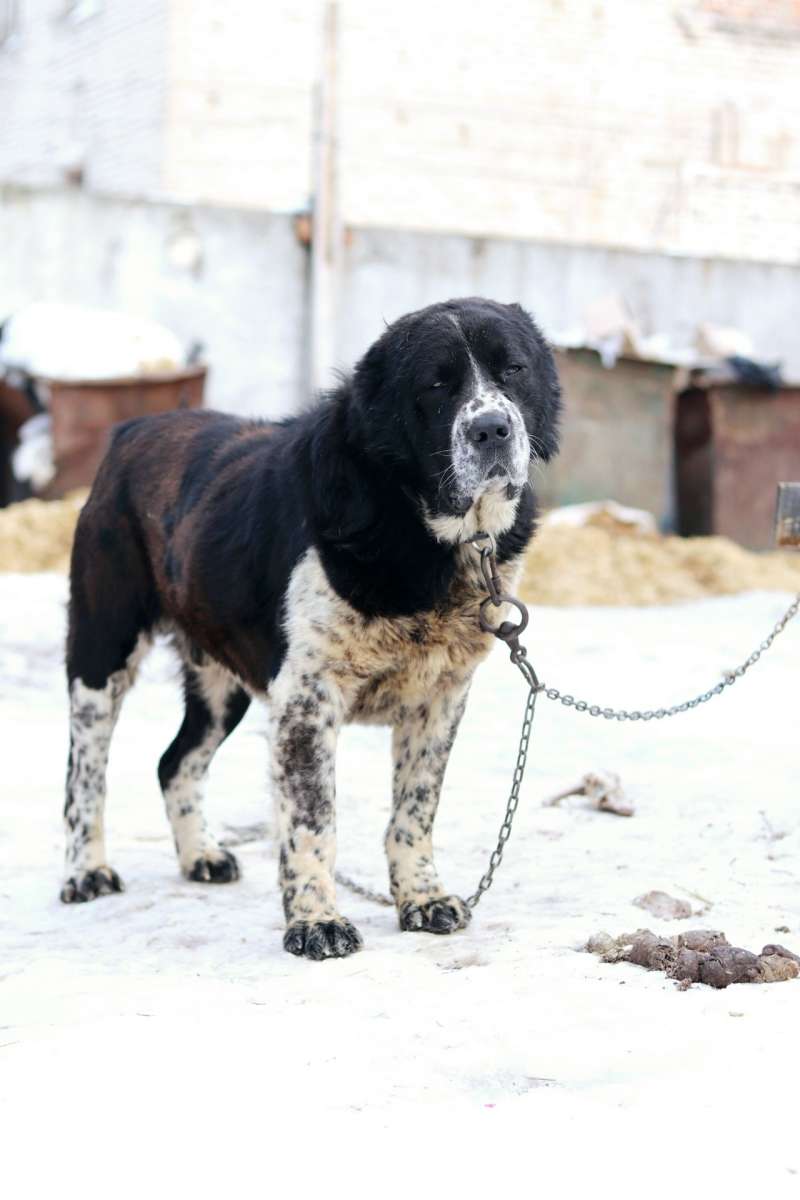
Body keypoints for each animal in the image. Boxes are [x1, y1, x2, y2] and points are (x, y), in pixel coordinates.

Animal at [61, 297, 561, 959]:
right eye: (435, 385)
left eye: (514, 370)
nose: (491, 429)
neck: (420, 527)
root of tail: (132, 431)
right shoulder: (306, 697)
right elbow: (312, 819)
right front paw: (316, 922)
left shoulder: (440, 697)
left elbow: (414, 809)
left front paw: (422, 899)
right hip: (101, 653)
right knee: (84, 774)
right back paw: (85, 872)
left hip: (221, 686)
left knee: (175, 763)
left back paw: (201, 856)